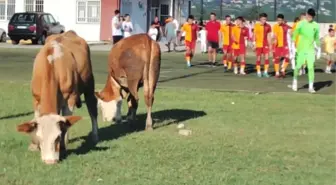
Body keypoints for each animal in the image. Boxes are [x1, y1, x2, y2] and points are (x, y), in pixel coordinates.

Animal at [16, 30, 98, 165]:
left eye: (57, 137)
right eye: (39, 138)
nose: (50, 161)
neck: (52, 63)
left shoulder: (70, 98)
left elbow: (66, 122)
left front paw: (63, 146)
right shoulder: (36, 98)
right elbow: (35, 119)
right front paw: (34, 146)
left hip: (89, 84)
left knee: (92, 108)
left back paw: (95, 135)